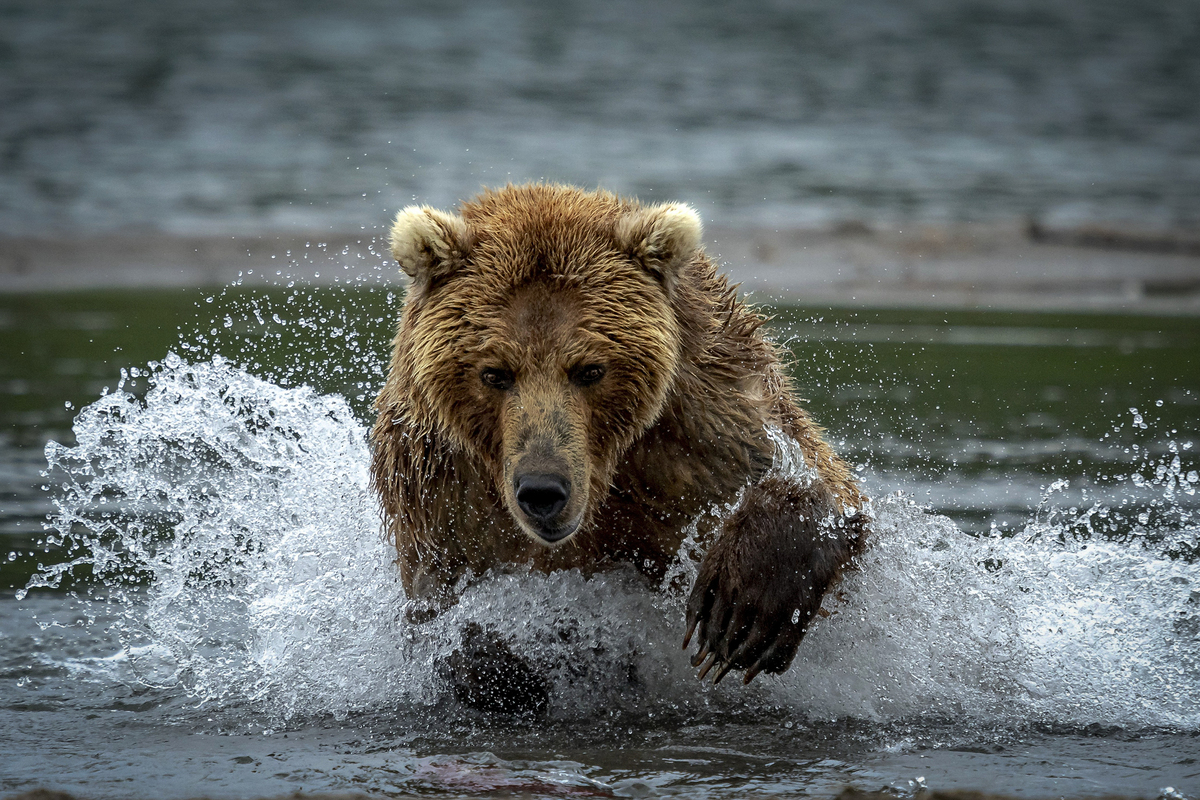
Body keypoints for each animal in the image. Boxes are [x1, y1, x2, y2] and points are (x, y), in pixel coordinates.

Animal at [370, 183, 867, 692]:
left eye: (590, 369)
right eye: (494, 373)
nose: (542, 490)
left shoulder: (700, 428)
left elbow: (815, 480)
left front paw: (740, 614)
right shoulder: (445, 492)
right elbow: (438, 606)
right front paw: (502, 663)